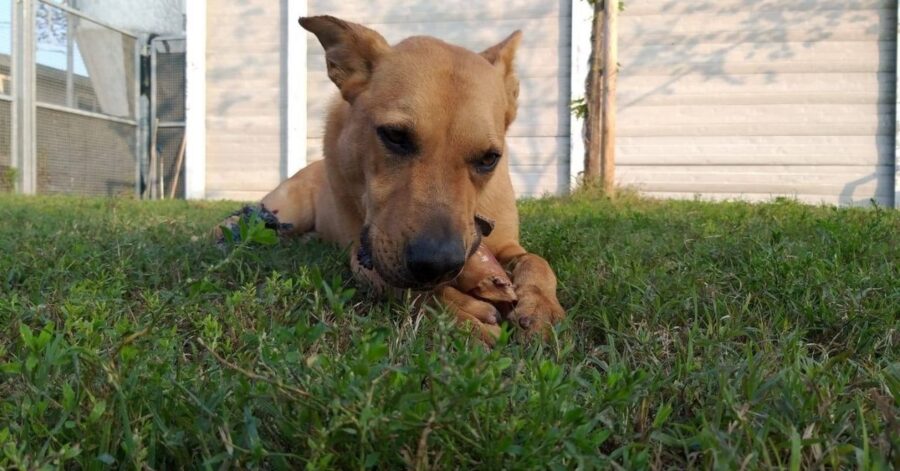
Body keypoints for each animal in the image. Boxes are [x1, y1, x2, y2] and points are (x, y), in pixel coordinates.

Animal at [227, 15, 564, 342]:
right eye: (395, 136)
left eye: (489, 158)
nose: (436, 266)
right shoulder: (362, 256)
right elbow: (401, 287)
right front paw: (455, 308)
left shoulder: (508, 246)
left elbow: (538, 261)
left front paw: (540, 305)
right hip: (282, 212)